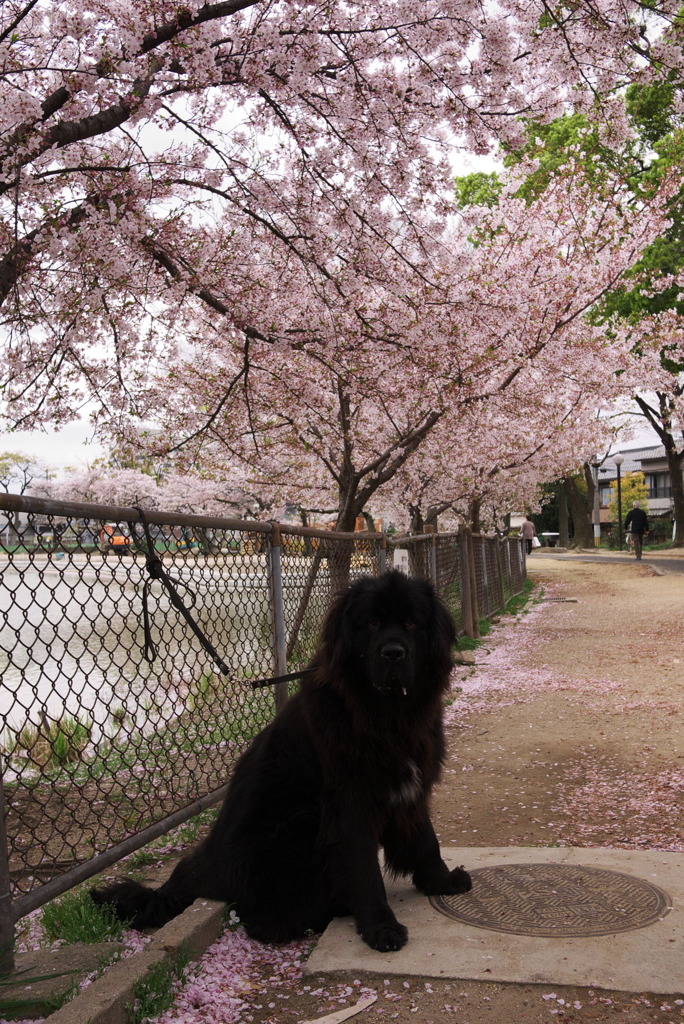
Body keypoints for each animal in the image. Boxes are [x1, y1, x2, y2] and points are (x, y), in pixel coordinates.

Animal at [93, 569, 473, 950]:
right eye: (372, 622)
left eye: (411, 622)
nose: (393, 653)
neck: (386, 716)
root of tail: (196, 875)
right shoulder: (349, 804)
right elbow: (364, 870)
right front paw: (381, 927)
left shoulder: (411, 787)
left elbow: (425, 840)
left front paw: (441, 882)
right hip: (300, 821)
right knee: (263, 921)